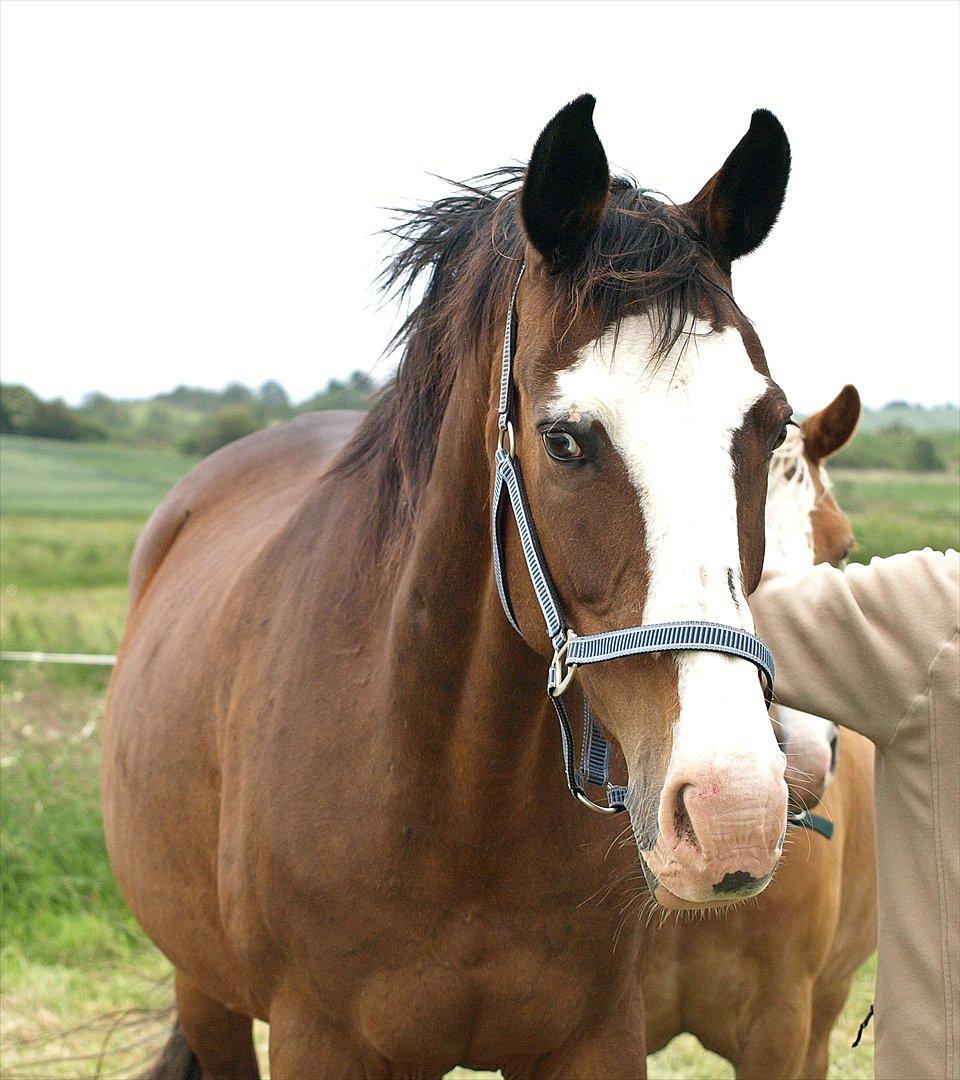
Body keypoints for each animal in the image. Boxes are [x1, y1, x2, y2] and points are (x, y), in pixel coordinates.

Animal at [103, 97, 794, 1075]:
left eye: (774, 427)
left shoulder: (594, 1035)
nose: (735, 811)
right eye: (563, 441)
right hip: (206, 991)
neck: (453, 793)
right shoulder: (319, 1038)